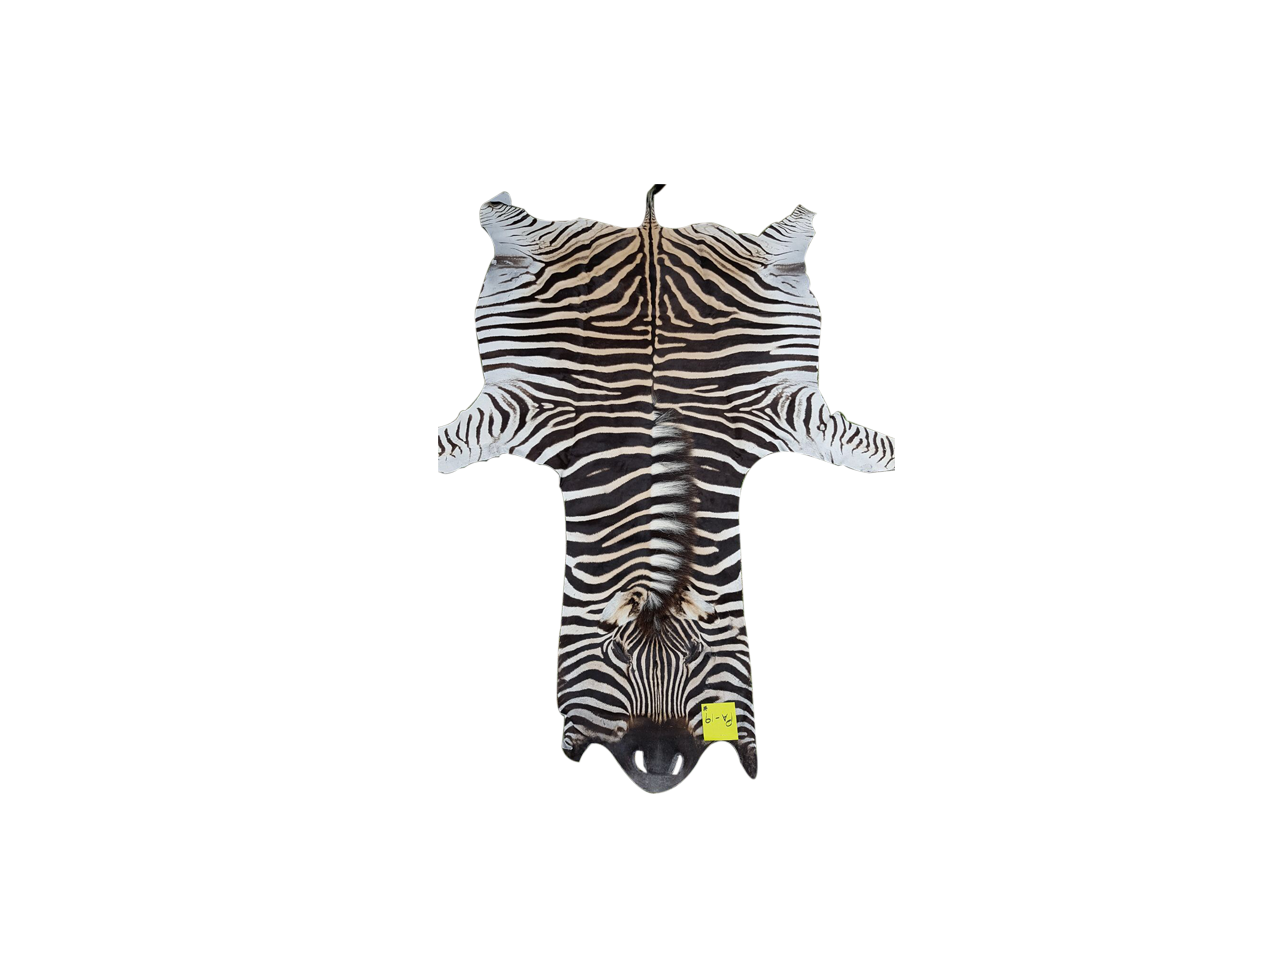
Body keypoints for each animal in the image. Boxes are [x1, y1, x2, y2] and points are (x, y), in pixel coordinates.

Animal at [436, 186, 895, 793]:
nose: (656, 769)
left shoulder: (784, 410)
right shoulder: (523, 409)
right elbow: (452, 445)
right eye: (614, 656)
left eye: (699, 656)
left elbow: (868, 448)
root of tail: (650, 227)